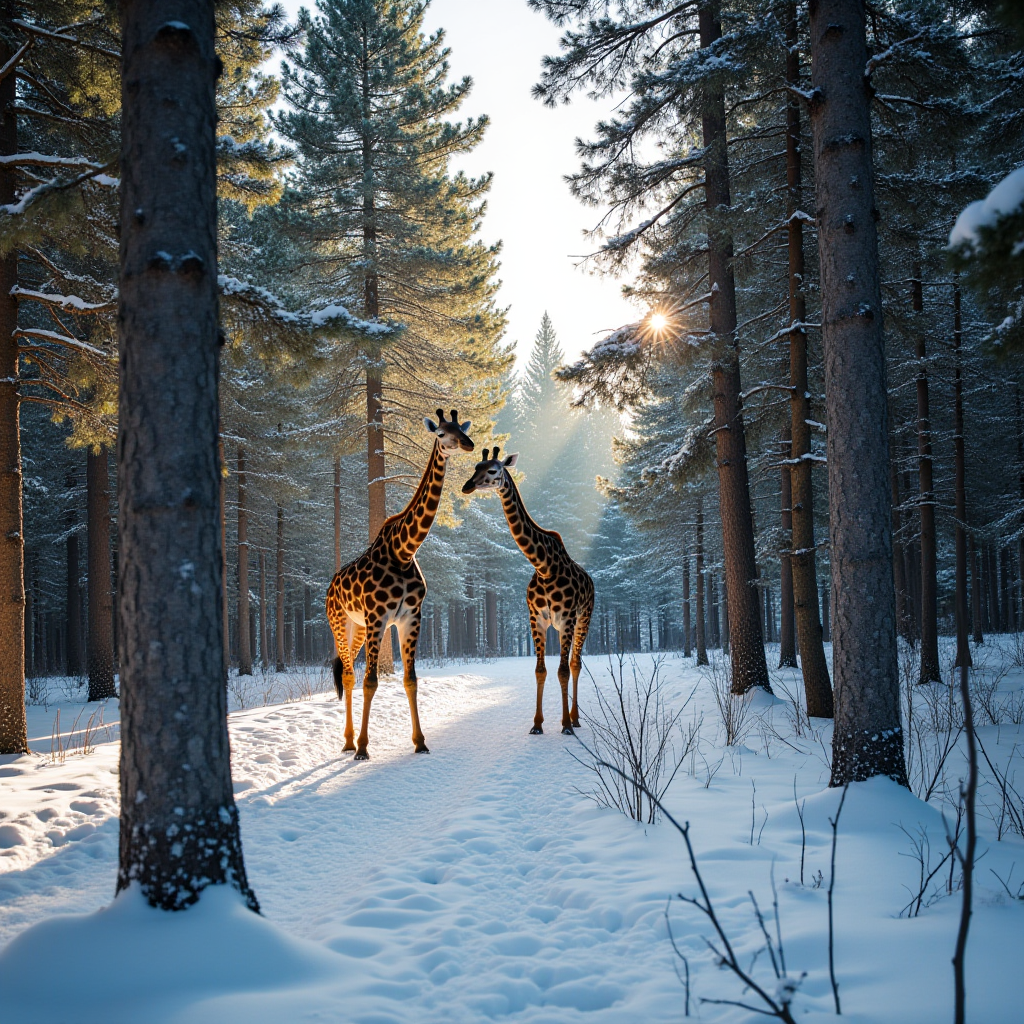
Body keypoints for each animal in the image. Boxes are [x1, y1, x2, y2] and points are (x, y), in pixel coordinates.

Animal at [325, 409, 473, 761]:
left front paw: (420, 742)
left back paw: (349, 739)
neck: (404, 551)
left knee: (348, 674)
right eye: (441, 434)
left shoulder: (410, 617)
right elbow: (371, 681)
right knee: (348, 675)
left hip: (358, 627)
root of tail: (330, 586)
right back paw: (349, 742)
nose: (469, 444)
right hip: (340, 622)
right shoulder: (379, 617)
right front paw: (364, 748)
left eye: (461, 427)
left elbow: (411, 680)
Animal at [462, 448, 598, 737]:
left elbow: (562, 671)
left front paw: (565, 725)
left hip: (584, 619)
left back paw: (575, 719)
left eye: (493, 470)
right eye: (476, 465)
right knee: (570, 663)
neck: (543, 565)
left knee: (575, 664)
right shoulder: (536, 619)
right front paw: (537, 724)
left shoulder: (566, 619)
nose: (467, 486)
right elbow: (540, 670)